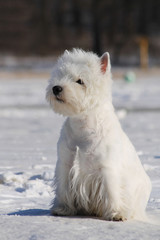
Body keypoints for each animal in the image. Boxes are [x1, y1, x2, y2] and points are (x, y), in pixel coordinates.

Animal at [46, 48, 151, 221]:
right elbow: (63, 187)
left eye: (80, 81)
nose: (56, 88)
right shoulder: (65, 163)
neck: (82, 125)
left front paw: (116, 213)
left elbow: (112, 191)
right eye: (60, 74)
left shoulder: (107, 168)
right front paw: (63, 208)